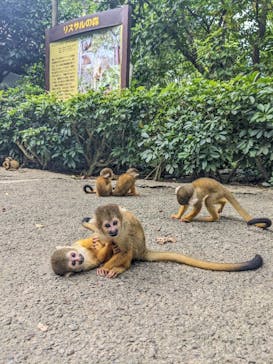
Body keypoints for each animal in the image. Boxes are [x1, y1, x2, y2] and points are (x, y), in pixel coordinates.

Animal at [81, 203, 264, 278]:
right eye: (107, 225)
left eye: (115, 223)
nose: (113, 230)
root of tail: (145, 249)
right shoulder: (102, 231)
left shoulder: (123, 230)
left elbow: (126, 250)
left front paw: (106, 267)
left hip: (137, 247)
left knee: (130, 247)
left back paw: (120, 268)